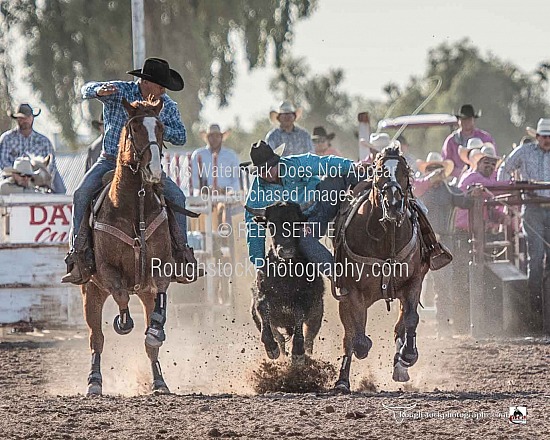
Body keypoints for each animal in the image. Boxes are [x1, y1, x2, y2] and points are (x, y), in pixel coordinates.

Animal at [83, 98, 174, 398]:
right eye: (134, 128)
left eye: (161, 127)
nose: (154, 171)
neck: (133, 207)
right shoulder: (106, 270)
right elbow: (121, 293)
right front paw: (124, 322)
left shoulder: (161, 266)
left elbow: (159, 297)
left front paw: (156, 328)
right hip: (91, 291)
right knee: (96, 338)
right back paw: (94, 382)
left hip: (140, 293)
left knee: (149, 346)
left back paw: (159, 381)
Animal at [332, 146, 432, 394]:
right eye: (379, 172)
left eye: (405, 172)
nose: (394, 204)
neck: (385, 237)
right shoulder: (353, 291)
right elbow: (356, 338)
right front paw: (364, 345)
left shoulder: (414, 281)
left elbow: (410, 319)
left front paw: (408, 355)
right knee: (349, 337)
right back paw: (342, 381)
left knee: (400, 324)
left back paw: (400, 365)